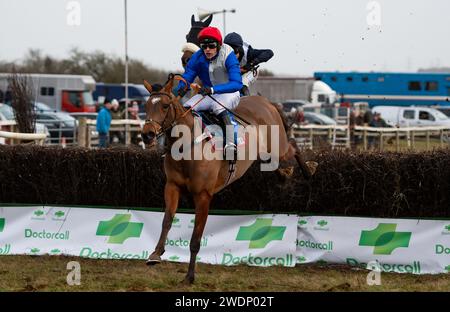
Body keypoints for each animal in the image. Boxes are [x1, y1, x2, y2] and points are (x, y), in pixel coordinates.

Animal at [142, 74, 316, 284]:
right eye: (146, 105)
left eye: (165, 105)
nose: (147, 134)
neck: (187, 147)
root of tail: (266, 101)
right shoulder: (172, 186)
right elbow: (167, 220)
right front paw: (156, 254)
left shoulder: (203, 195)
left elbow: (195, 239)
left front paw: (190, 276)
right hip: (265, 153)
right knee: (275, 164)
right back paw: (285, 175)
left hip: (278, 147)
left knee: (293, 145)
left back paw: (309, 170)